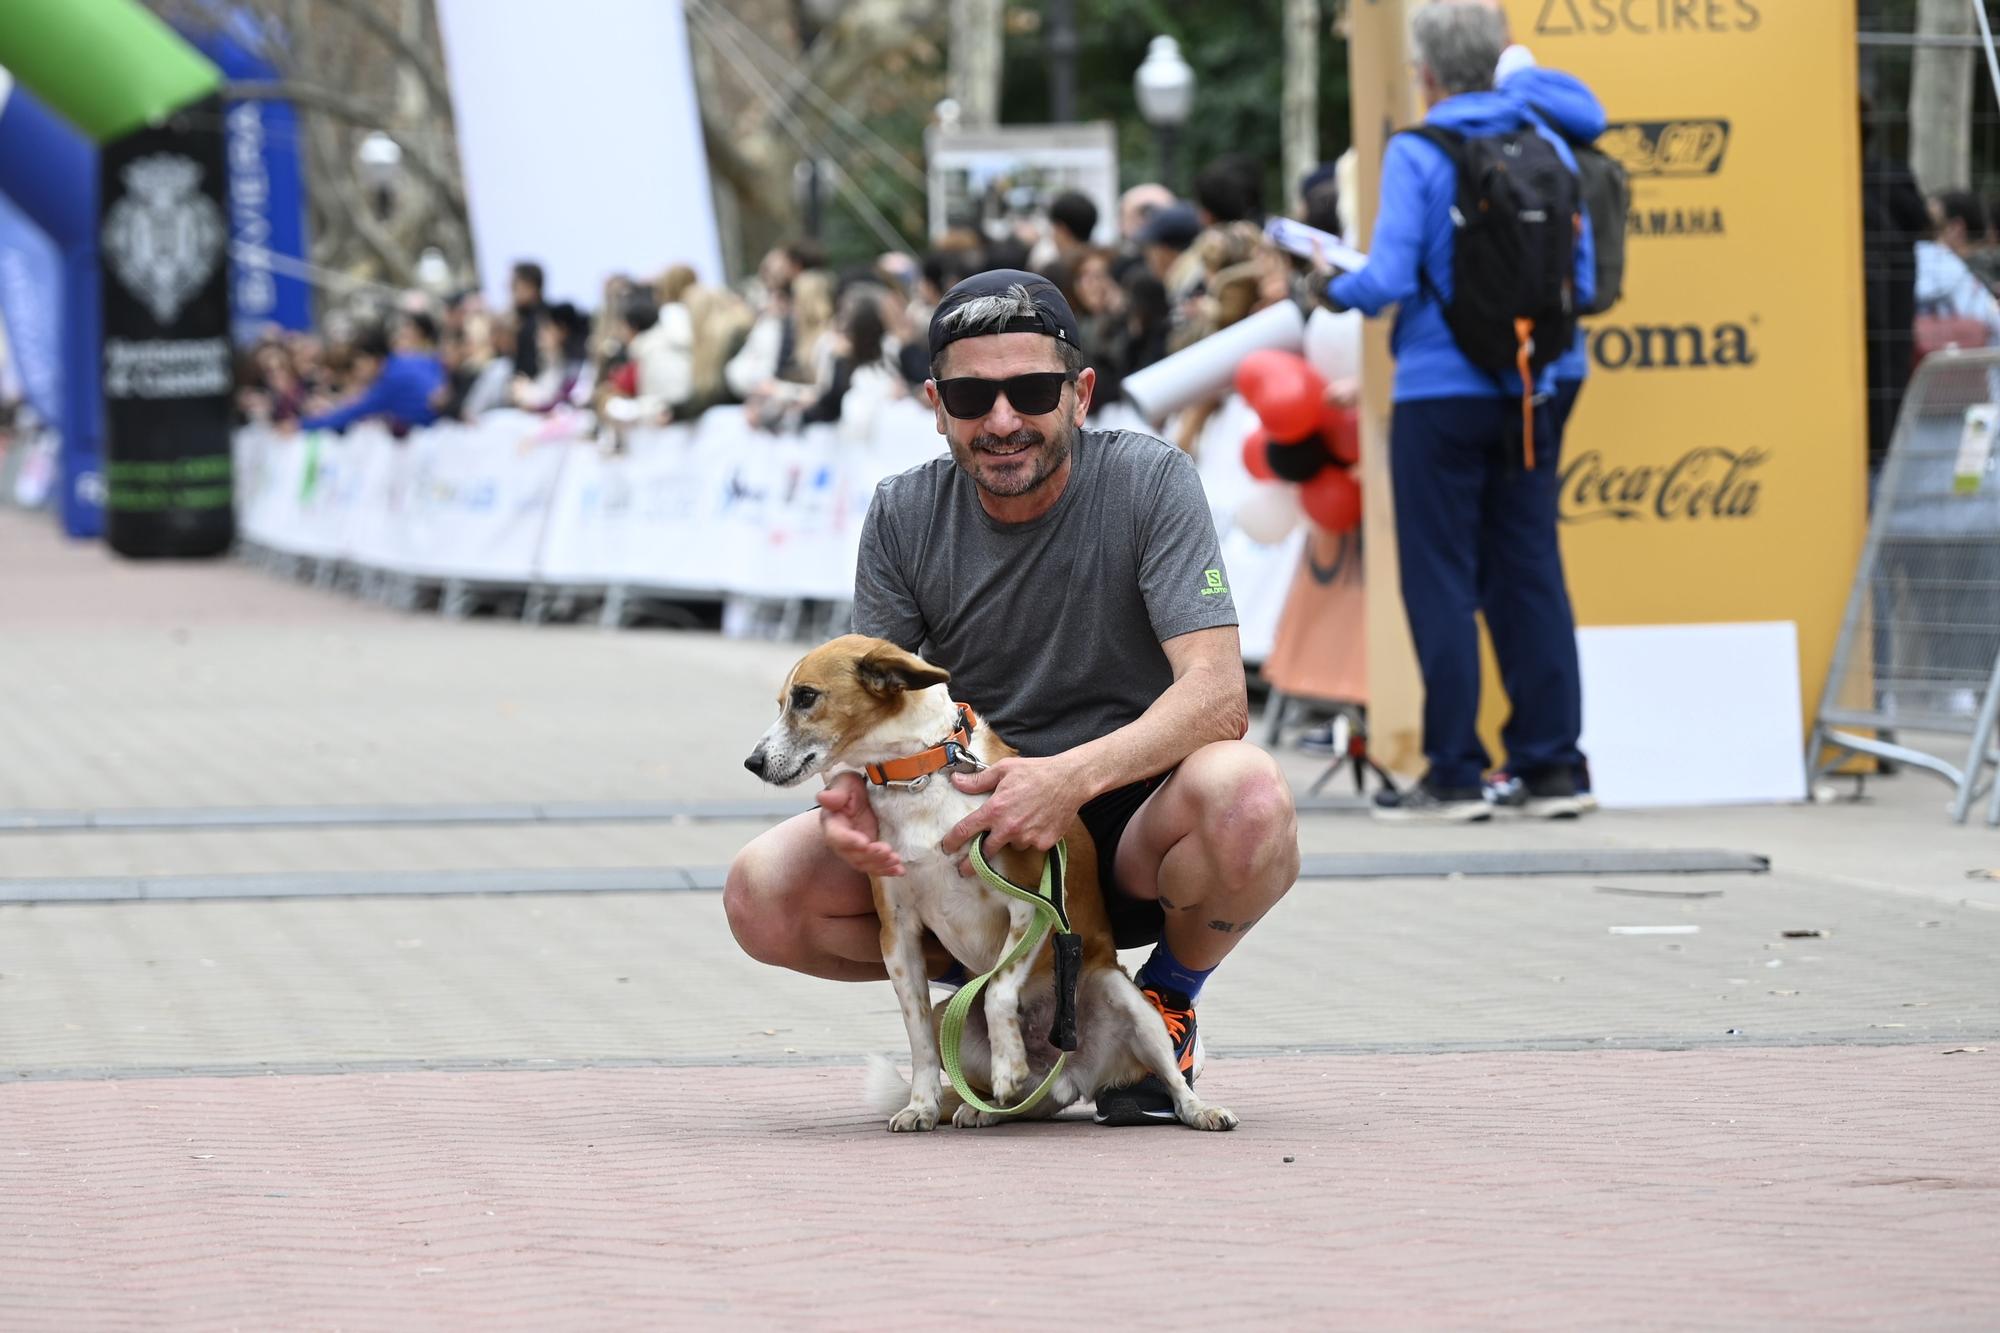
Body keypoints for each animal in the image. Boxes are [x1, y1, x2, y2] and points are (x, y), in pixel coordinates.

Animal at [748, 636, 1232, 1128]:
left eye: (806, 697)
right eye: (783, 701)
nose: (753, 762)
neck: (920, 774)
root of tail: (1065, 1079)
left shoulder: (1031, 906)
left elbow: (999, 987)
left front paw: (1007, 1063)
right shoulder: (897, 934)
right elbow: (918, 1036)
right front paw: (921, 1106)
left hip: (1126, 1000)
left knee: (1169, 1075)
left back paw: (1194, 1107)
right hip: (950, 1016)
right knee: (985, 1081)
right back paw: (984, 1109)